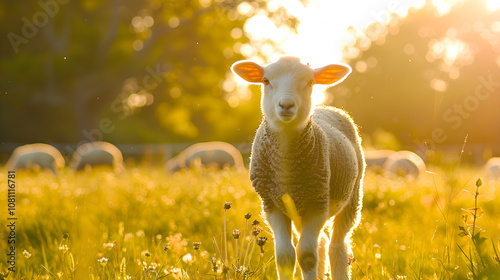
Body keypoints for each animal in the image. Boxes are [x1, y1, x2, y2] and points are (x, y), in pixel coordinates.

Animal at [232, 57, 366, 280]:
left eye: (310, 82)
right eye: (266, 80)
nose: (286, 105)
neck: (287, 170)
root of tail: (325, 107)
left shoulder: (318, 202)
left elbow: (307, 256)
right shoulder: (272, 204)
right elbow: (285, 256)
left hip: (352, 197)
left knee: (336, 245)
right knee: (321, 242)